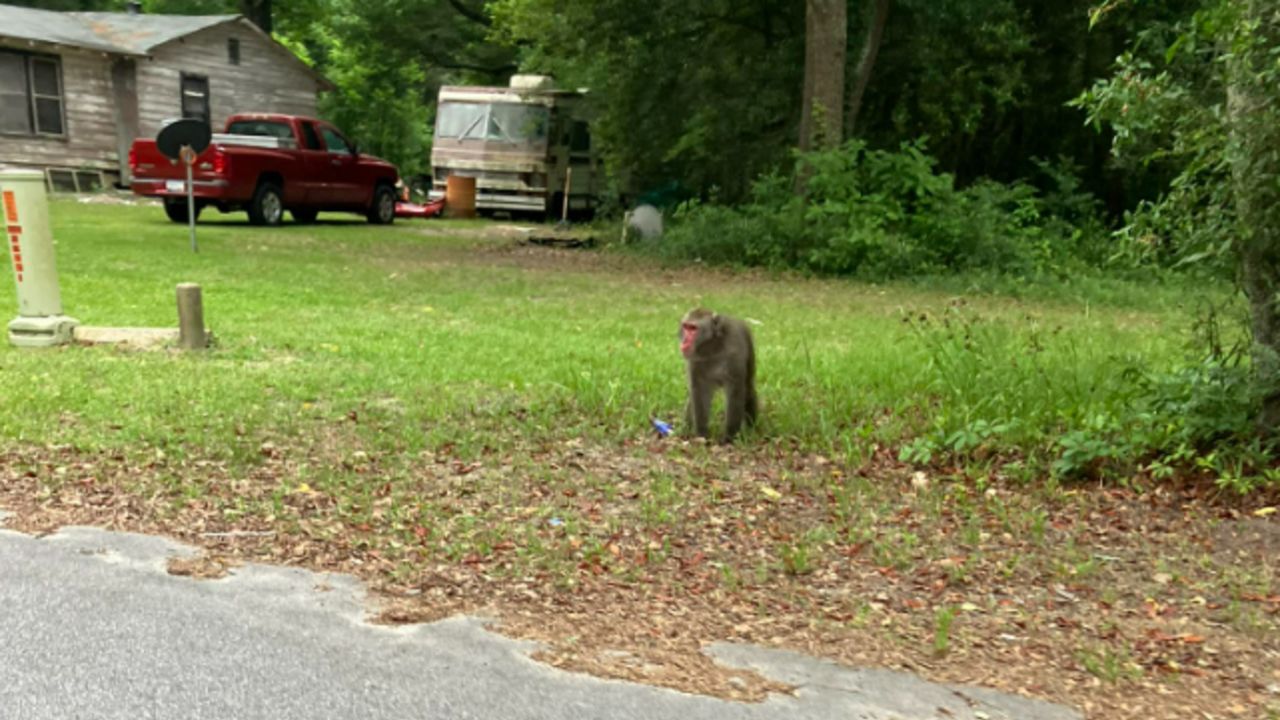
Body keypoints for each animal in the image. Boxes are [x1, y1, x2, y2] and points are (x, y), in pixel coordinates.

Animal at [680, 304, 757, 440]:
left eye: (693, 328)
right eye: (686, 326)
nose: (684, 341)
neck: (712, 346)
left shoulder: (733, 351)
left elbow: (735, 390)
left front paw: (729, 436)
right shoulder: (694, 359)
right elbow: (698, 391)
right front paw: (702, 434)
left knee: (748, 387)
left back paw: (751, 429)